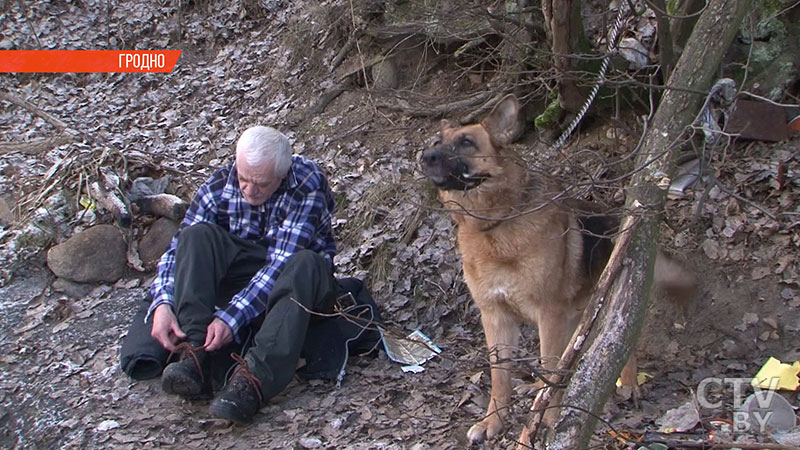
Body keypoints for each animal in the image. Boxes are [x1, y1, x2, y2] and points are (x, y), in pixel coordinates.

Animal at [418, 94, 692, 442]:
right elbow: (500, 378)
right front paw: (494, 422)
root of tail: (618, 218)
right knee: (565, 358)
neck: (496, 224)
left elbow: (550, 365)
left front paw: (547, 420)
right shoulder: (496, 317)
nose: (425, 156)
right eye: (438, 142)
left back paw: (628, 383)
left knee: (620, 342)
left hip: (607, 306)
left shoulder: (548, 313)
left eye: (466, 142)